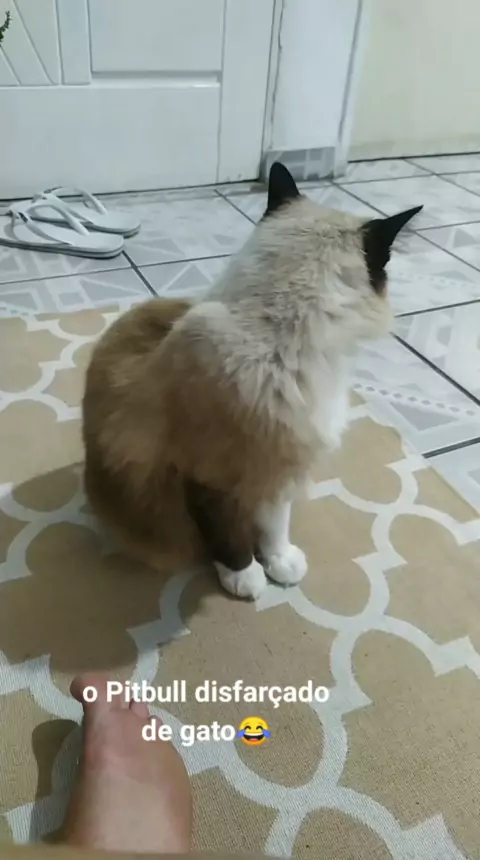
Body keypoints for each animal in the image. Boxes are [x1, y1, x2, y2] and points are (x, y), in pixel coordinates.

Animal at [82, 163, 422, 600]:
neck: (281, 338)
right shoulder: (208, 477)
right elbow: (227, 535)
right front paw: (244, 577)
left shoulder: (278, 465)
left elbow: (275, 524)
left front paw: (279, 562)